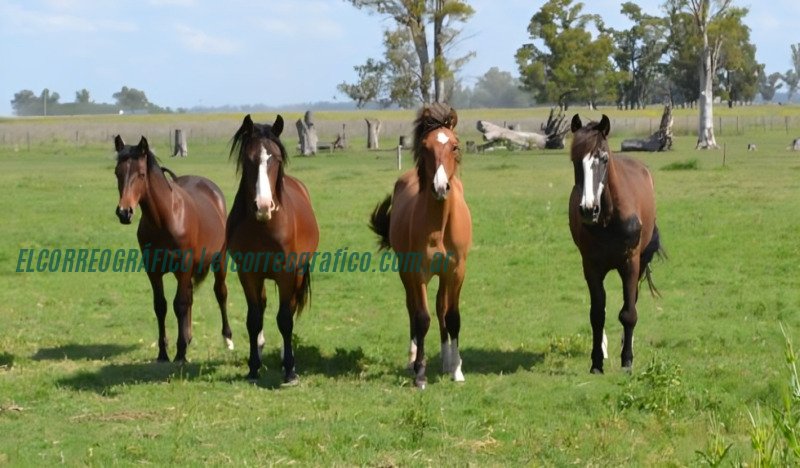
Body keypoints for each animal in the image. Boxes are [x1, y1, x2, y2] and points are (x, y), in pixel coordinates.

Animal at [113, 135, 232, 362]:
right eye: (117, 172)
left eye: (141, 174)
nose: (124, 212)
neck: (165, 218)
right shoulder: (153, 270)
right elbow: (161, 305)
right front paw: (163, 352)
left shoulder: (183, 267)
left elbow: (180, 304)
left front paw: (180, 353)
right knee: (191, 296)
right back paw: (189, 336)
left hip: (219, 260)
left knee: (220, 293)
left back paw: (227, 339)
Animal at [227, 114, 319, 384]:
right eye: (248, 159)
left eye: (276, 159)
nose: (264, 205)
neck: (264, 227)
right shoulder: (248, 274)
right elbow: (254, 319)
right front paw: (253, 367)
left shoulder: (287, 274)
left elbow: (285, 319)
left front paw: (290, 370)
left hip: (297, 274)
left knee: (288, 310)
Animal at [369, 103, 472, 389]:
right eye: (425, 147)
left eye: (455, 146)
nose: (440, 187)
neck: (439, 226)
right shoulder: (418, 273)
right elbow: (422, 318)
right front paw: (420, 374)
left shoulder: (456, 271)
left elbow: (452, 317)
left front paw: (457, 370)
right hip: (407, 274)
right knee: (413, 310)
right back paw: (413, 358)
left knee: (441, 308)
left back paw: (447, 361)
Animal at [568, 114, 663, 374]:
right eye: (575, 159)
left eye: (603, 158)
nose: (588, 209)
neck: (609, 220)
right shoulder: (591, 266)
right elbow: (597, 314)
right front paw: (596, 362)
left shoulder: (630, 262)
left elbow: (628, 313)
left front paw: (627, 361)